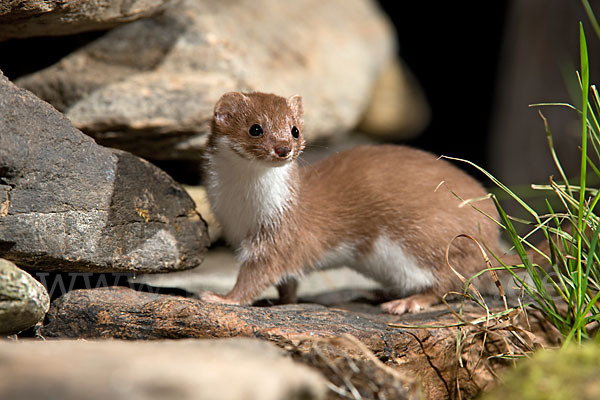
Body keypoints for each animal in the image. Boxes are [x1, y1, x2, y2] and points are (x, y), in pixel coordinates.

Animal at [203, 92, 506, 314]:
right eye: (255, 129)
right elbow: (288, 282)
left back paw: (406, 302)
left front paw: (221, 298)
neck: (241, 207)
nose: (283, 149)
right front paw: (280, 302)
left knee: (452, 283)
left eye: (295, 130)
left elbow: (256, 275)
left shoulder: (279, 234)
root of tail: (491, 236)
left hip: (429, 242)